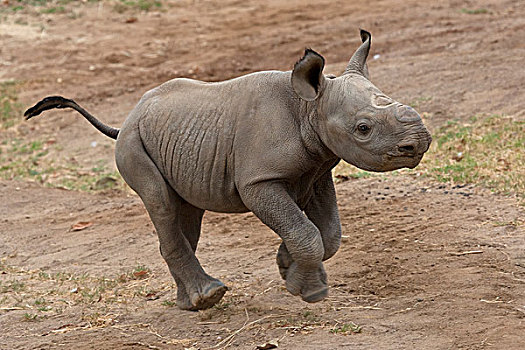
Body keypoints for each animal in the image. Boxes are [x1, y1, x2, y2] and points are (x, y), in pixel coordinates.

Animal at [25, 29, 430, 308]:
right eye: (363, 129)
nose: (419, 143)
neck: (309, 108)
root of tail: (126, 119)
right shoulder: (258, 181)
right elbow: (307, 232)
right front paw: (310, 292)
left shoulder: (317, 169)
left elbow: (327, 233)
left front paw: (287, 267)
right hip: (132, 144)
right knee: (160, 202)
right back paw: (209, 297)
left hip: (169, 138)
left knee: (185, 212)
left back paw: (191, 304)